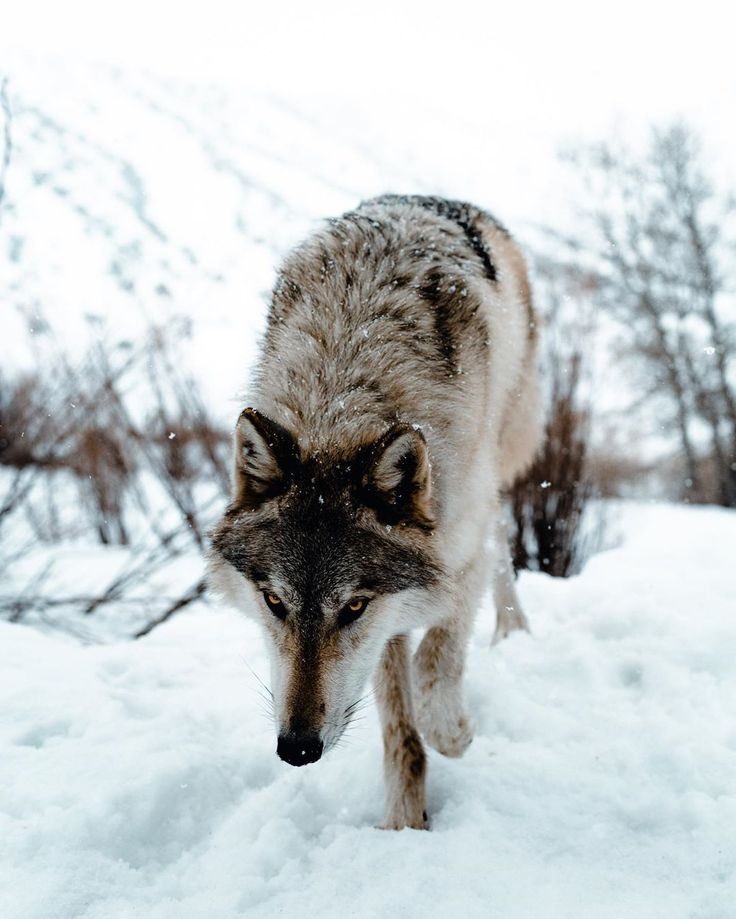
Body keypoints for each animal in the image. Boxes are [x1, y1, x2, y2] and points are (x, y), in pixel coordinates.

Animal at [209, 194, 541, 830]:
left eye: (354, 607)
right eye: (273, 602)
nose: (297, 749)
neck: (343, 394)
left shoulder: (452, 551)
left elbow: (436, 662)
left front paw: (455, 733)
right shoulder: (396, 609)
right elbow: (398, 724)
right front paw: (405, 822)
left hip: (503, 451)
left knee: (501, 539)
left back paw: (515, 629)